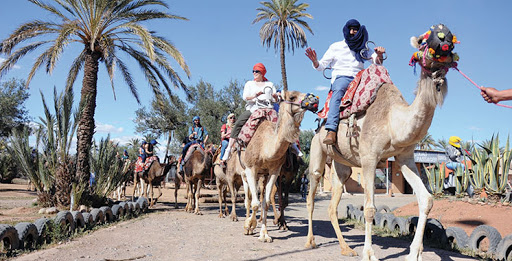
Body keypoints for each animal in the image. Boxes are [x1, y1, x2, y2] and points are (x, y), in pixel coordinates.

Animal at [242, 91, 318, 242]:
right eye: (292, 97)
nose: (314, 100)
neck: (266, 147)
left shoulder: (275, 172)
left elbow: (267, 202)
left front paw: (265, 234)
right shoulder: (251, 168)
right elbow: (255, 203)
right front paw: (249, 226)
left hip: (263, 175)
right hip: (244, 172)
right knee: (248, 199)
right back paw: (248, 223)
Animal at [304, 27, 456, 258]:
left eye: (451, 38)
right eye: (425, 40)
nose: (444, 39)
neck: (393, 121)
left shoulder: (404, 157)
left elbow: (426, 199)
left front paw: (415, 253)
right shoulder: (369, 158)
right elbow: (369, 209)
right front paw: (369, 254)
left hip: (341, 165)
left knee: (333, 202)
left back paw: (346, 248)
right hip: (317, 152)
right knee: (311, 196)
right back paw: (310, 242)